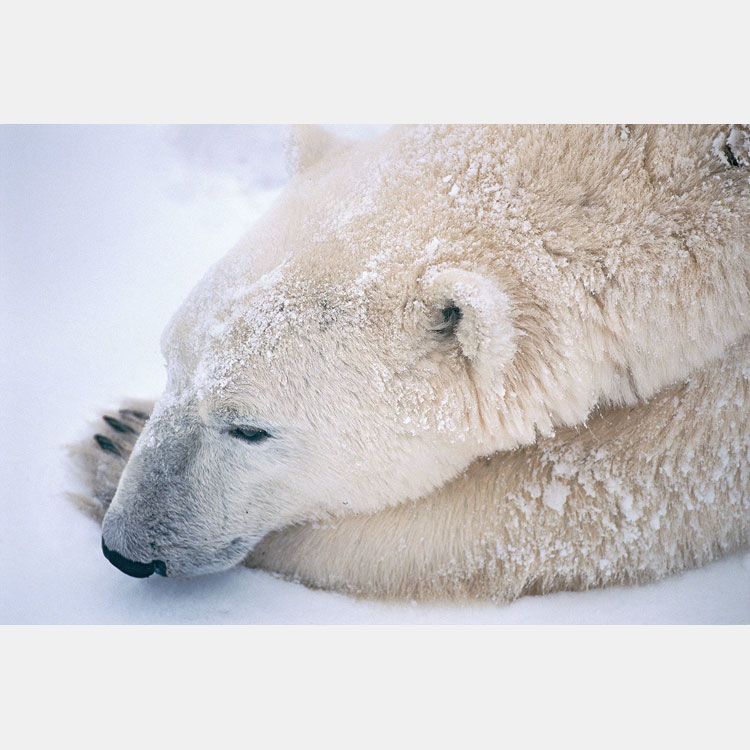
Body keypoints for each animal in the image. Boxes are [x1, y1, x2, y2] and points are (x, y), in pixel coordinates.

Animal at [69, 124, 750, 600]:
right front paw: (116, 432)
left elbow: (580, 499)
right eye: (169, 366)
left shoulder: (723, 401)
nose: (123, 549)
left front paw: (106, 453)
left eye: (249, 429)